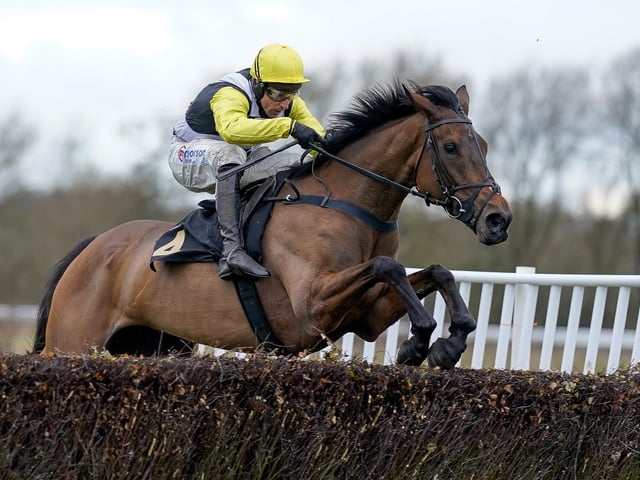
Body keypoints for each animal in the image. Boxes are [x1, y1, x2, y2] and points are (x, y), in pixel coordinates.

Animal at [33, 80, 512, 369]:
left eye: (485, 145)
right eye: (450, 147)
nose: (498, 219)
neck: (348, 204)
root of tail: (93, 247)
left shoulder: (367, 316)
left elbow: (437, 272)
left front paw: (450, 341)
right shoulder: (312, 305)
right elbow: (388, 267)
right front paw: (421, 341)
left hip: (159, 344)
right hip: (71, 343)